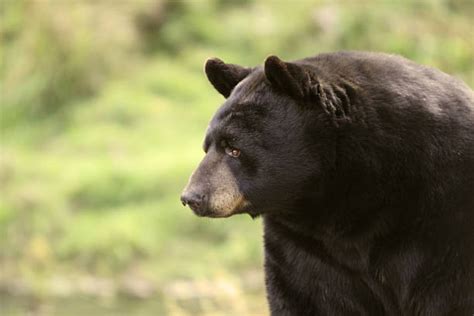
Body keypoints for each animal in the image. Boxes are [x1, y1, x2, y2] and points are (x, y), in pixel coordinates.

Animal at [181, 51, 474, 314]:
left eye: (234, 148)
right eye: (207, 146)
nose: (191, 197)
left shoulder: (445, 229)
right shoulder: (307, 249)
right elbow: (307, 296)